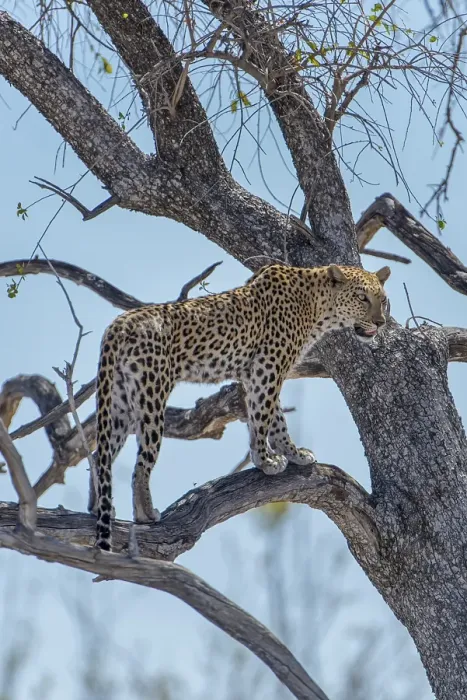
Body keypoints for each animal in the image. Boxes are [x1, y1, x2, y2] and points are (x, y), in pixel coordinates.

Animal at [92, 263, 390, 551]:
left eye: (383, 299)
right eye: (362, 298)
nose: (380, 322)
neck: (318, 306)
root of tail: (119, 324)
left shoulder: (255, 374)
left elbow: (275, 418)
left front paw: (291, 453)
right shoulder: (267, 367)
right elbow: (263, 417)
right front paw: (266, 461)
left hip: (120, 400)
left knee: (99, 456)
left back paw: (99, 508)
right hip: (151, 392)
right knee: (142, 461)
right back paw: (145, 514)